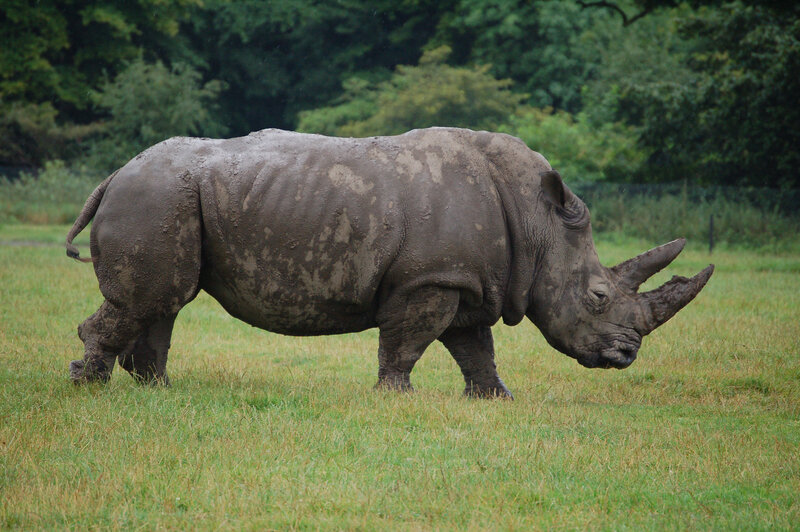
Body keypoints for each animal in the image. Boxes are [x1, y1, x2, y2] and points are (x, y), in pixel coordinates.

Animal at [65, 127, 713, 398]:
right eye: (598, 297)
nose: (625, 356)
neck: (539, 223)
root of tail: (114, 173)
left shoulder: (466, 279)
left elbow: (475, 347)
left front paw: (496, 400)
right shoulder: (428, 278)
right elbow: (409, 339)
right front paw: (394, 398)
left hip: (165, 197)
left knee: (164, 303)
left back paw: (157, 390)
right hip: (156, 197)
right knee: (153, 298)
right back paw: (88, 386)